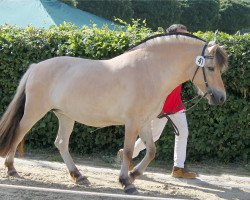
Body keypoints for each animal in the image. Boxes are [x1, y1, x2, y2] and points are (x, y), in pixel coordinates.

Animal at [0, 32, 228, 194]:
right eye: (210, 68)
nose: (221, 97)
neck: (150, 70)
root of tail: (35, 67)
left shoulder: (144, 122)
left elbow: (151, 151)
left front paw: (134, 174)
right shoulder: (132, 122)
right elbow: (127, 151)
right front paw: (126, 182)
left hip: (65, 116)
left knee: (61, 143)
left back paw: (78, 176)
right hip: (35, 110)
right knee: (19, 132)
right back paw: (11, 168)